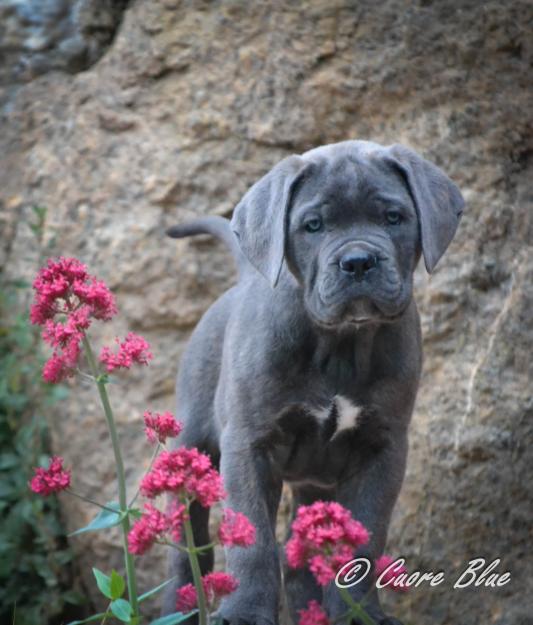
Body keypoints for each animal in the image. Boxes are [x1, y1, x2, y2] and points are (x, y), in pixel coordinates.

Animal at [161, 141, 462, 624]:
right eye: (313, 226)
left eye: (393, 217)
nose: (358, 262)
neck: (340, 343)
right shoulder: (248, 445)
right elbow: (252, 541)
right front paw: (245, 611)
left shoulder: (383, 449)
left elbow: (365, 539)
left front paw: (359, 614)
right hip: (192, 449)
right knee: (187, 550)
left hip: (312, 483)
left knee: (299, 558)